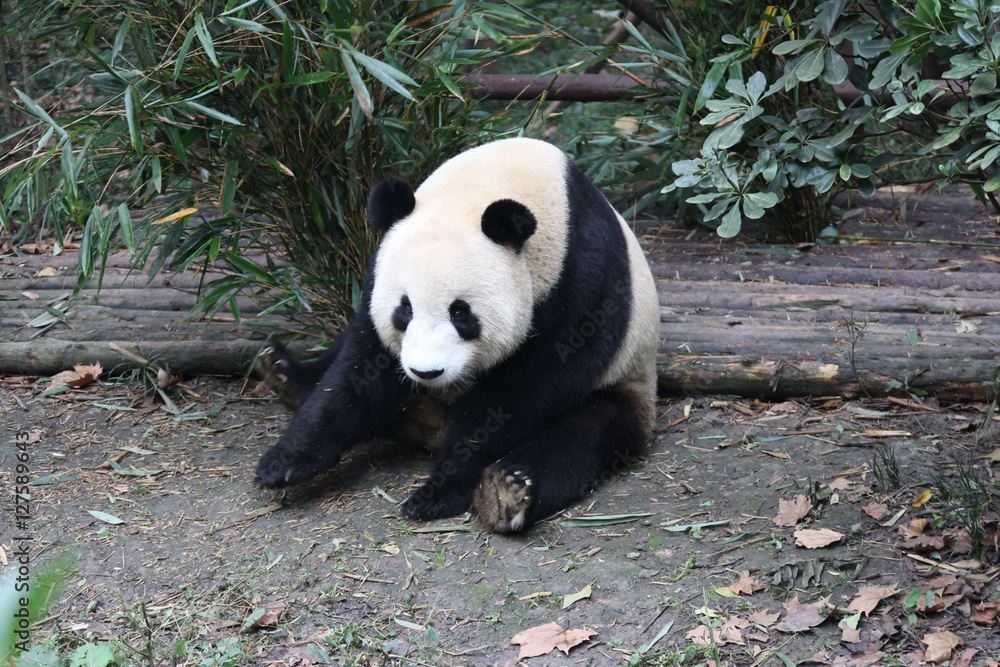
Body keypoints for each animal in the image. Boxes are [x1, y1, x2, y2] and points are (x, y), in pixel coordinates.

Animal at [256, 137, 660, 534]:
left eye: (460, 312)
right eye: (405, 309)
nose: (426, 373)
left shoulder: (580, 284)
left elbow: (522, 392)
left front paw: (439, 490)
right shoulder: (378, 274)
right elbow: (360, 366)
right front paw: (285, 461)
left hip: (626, 378)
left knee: (581, 438)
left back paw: (507, 491)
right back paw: (283, 373)